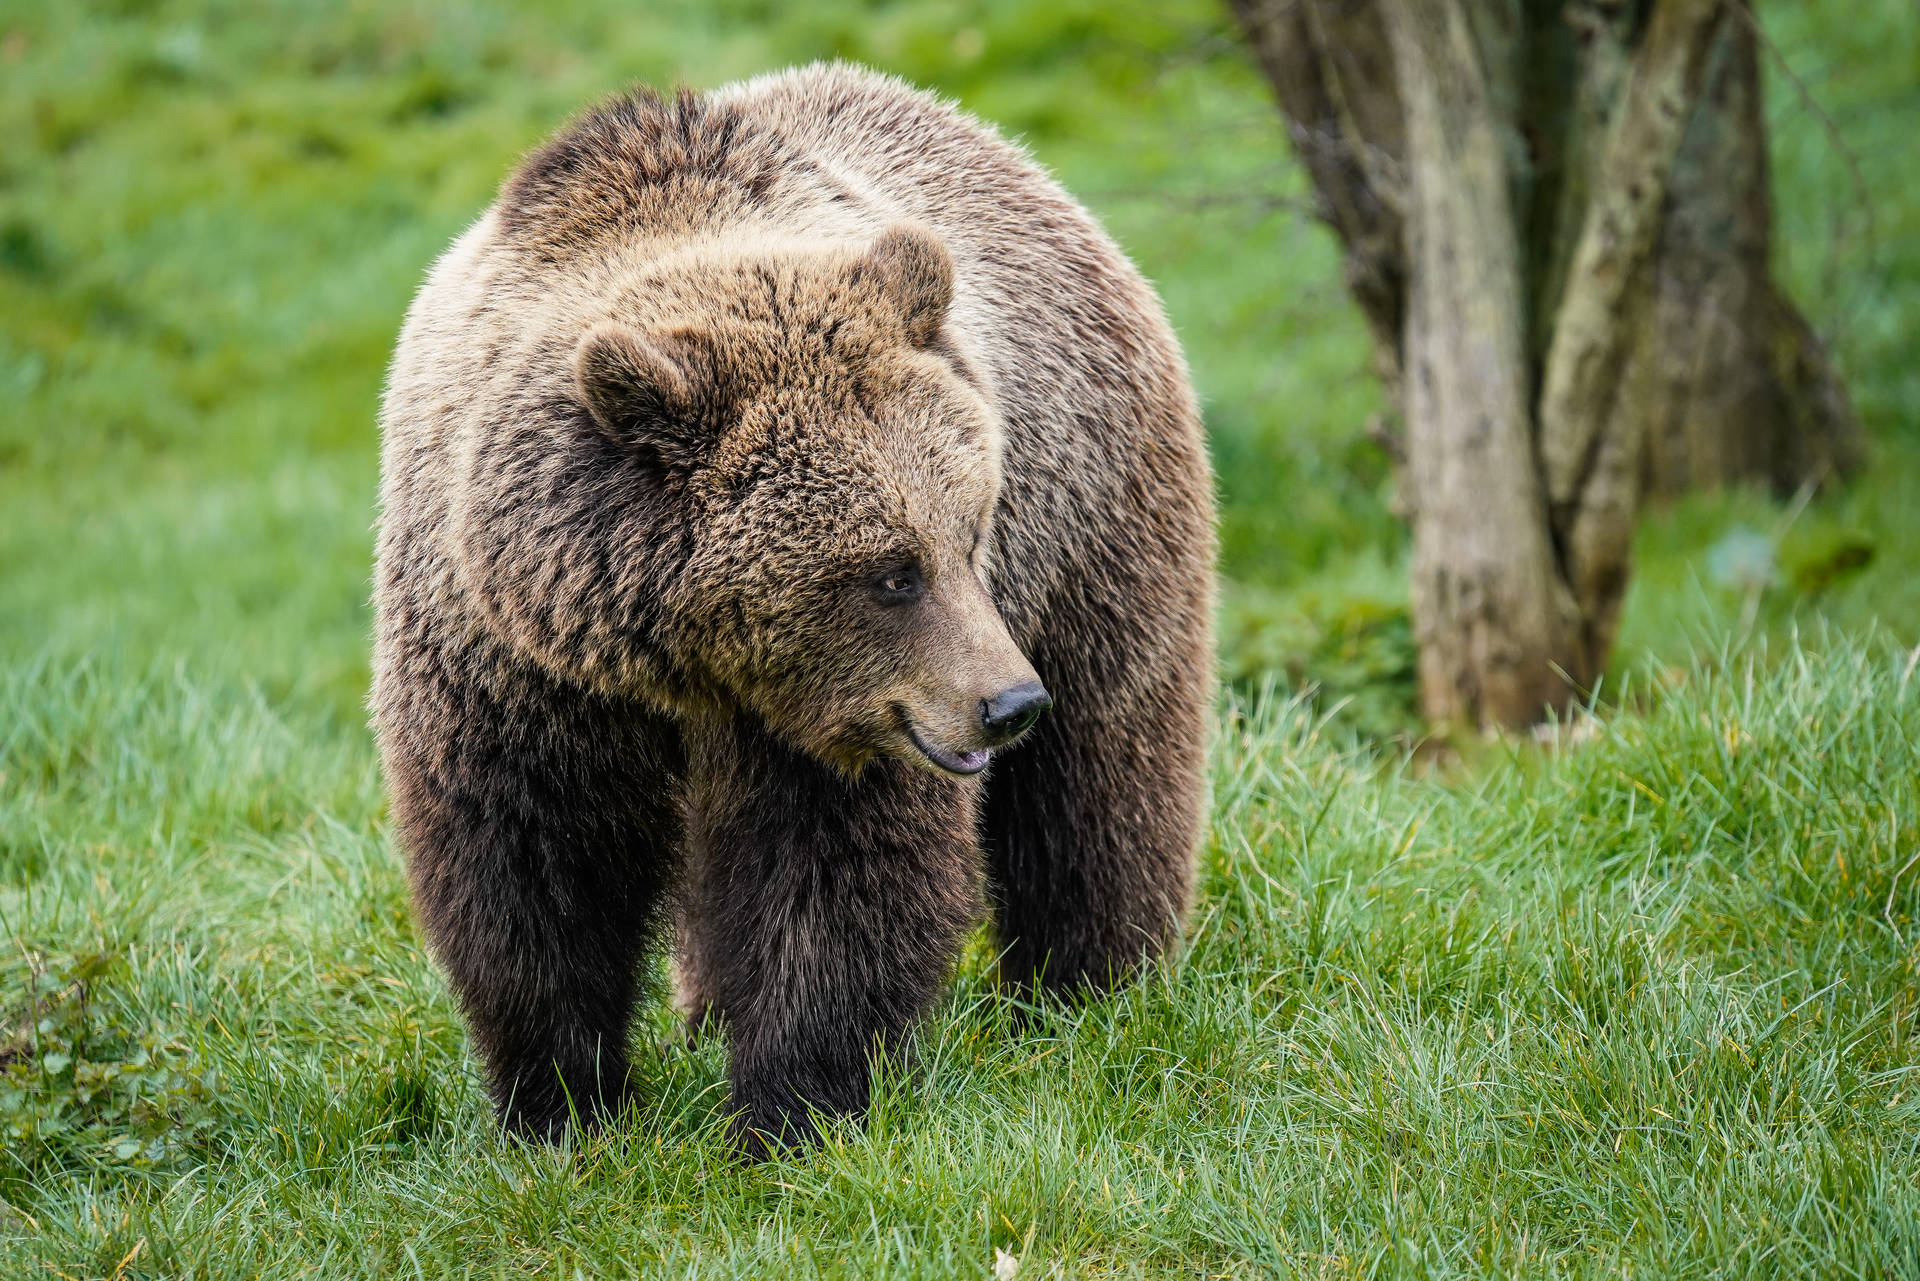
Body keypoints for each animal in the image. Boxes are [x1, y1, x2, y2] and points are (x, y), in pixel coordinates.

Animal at [371, 62, 1215, 1153]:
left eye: (969, 534)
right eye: (891, 572)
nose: (1007, 704)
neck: (675, 658)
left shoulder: (848, 720)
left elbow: (835, 878)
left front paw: (792, 1110)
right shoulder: (508, 664)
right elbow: (529, 864)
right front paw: (561, 1105)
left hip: (1093, 520)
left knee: (1104, 771)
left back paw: (1094, 987)